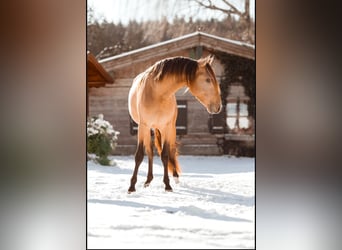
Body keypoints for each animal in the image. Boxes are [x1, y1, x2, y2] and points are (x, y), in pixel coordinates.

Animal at [127, 55, 220, 193]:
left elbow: (165, 155)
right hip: (149, 129)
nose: (218, 106)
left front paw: (167, 184)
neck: (158, 93)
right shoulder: (143, 126)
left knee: (170, 150)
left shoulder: (166, 126)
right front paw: (132, 186)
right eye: (208, 80)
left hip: (170, 129)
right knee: (150, 151)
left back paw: (175, 177)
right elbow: (139, 155)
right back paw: (148, 180)